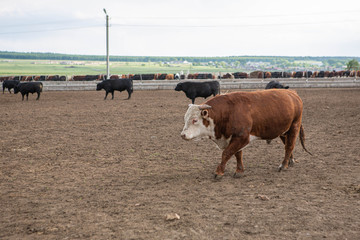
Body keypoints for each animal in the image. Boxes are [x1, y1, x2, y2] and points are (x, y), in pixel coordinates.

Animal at [181, 88, 310, 178]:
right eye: (185, 118)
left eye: (195, 120)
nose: (183, 135)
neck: (228, 111)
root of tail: (292, 93)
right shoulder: (234, 137)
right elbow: (238, 154)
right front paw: (239, 171)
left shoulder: (242, 137)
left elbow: (227, 153)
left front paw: (219, 172)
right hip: (283, 131)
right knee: (287, 144)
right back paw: (290, 161)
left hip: (294, 126)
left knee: (289, 146)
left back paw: (283, 165)